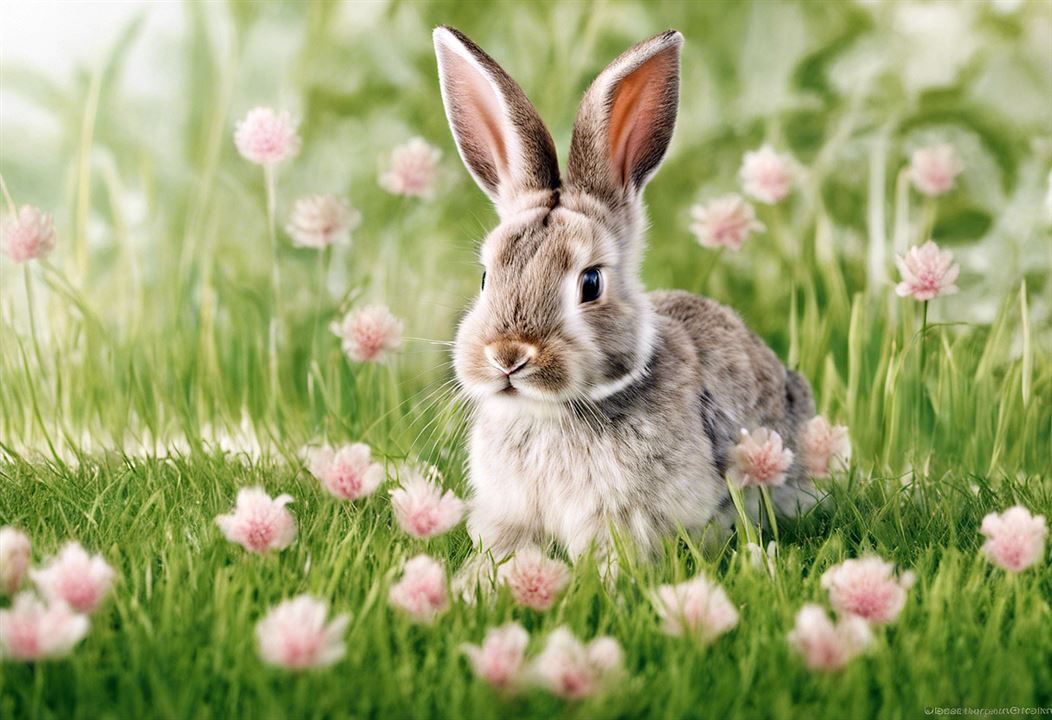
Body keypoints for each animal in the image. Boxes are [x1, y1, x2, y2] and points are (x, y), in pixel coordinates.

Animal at [432, 26, 817, 587]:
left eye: (591, 282)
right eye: (486, 277)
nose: (508, 356)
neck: (552, 410)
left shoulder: (623, 517)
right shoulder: (511, 516)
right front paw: (473, 586)